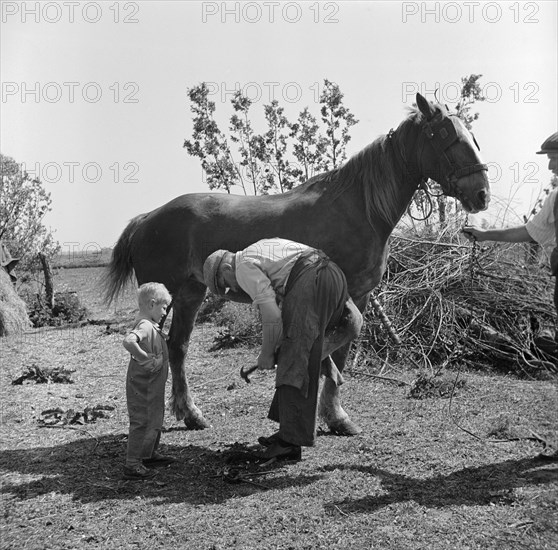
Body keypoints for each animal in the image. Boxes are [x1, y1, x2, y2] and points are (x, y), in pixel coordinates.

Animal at [104, 96, 490, 440]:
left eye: (472, 136)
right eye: (446, 136)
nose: (481, 194)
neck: (358, 208)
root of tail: (147, 218)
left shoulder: (360, 296)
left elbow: (342, 351)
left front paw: (335, 415)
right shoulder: (342, 294)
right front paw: (332, 410)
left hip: (190, 294)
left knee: (178, 347)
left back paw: (190, 414)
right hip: (166, 294)